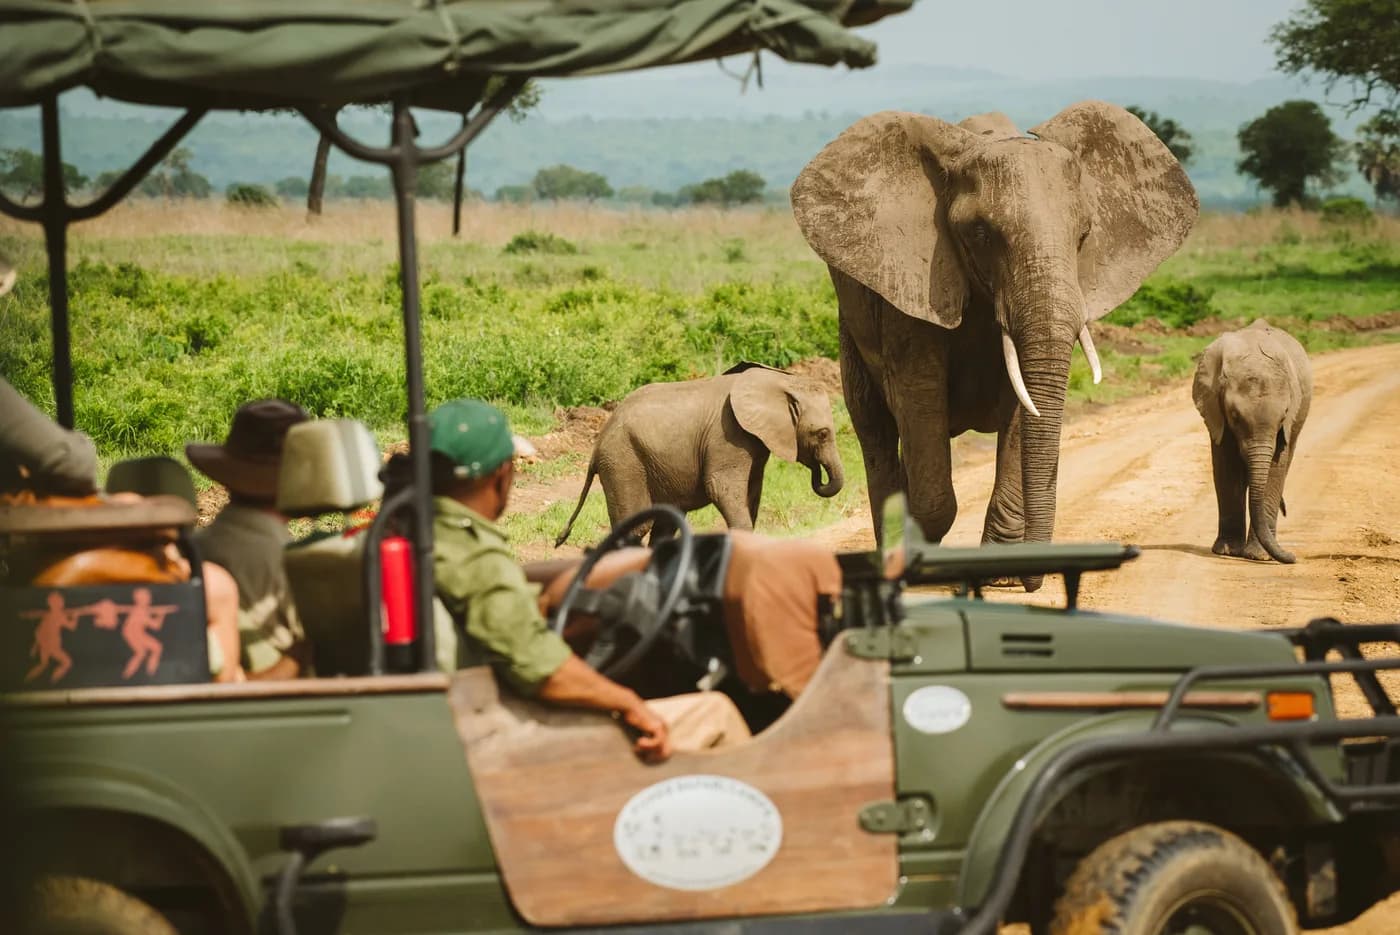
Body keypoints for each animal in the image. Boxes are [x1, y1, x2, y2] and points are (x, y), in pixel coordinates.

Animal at [555, 363, 844, 546]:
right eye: (822, 434)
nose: (816, 471)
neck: (779, 381)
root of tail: (596, 445)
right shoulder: (727, 436)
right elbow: (721, 488)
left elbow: (752, 492)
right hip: (622, 462)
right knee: (637, 526)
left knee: (665, 523)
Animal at [791, 101, 1198, 589]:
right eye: (981, 234)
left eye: (1083, 236)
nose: (1034, 577)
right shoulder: (913, 285)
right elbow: (920, 397)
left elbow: (1025, 405)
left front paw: (1000, 574)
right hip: (850, 330)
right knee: (876, 428)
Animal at [1192, 319, 1312, 564]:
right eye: (1235, 416)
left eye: (1283, 416)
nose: (1293, 557)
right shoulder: (1216, 412)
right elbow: (1227, 466)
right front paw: (1227, 551)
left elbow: (1276, 466)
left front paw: (1259, 557)